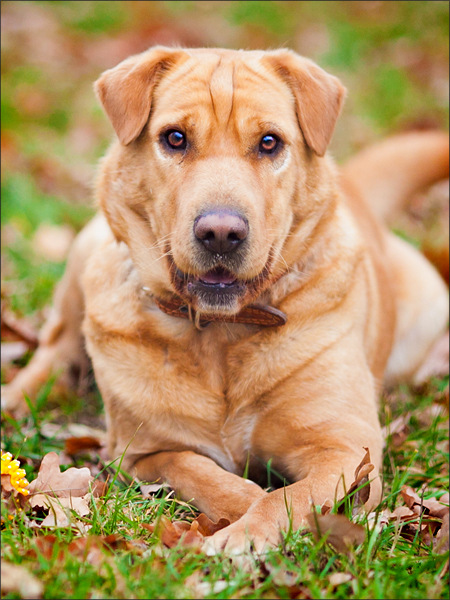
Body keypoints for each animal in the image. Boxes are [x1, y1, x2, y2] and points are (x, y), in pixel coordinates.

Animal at [3, 45, 450, 552]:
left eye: (270, 143)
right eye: (175, 138)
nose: (220, 233)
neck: (221, 333)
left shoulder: (347, 449)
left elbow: (290, 497)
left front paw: (249, 533)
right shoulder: (144, 451)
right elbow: (205, 473)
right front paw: (242, 509)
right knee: (56, 347)